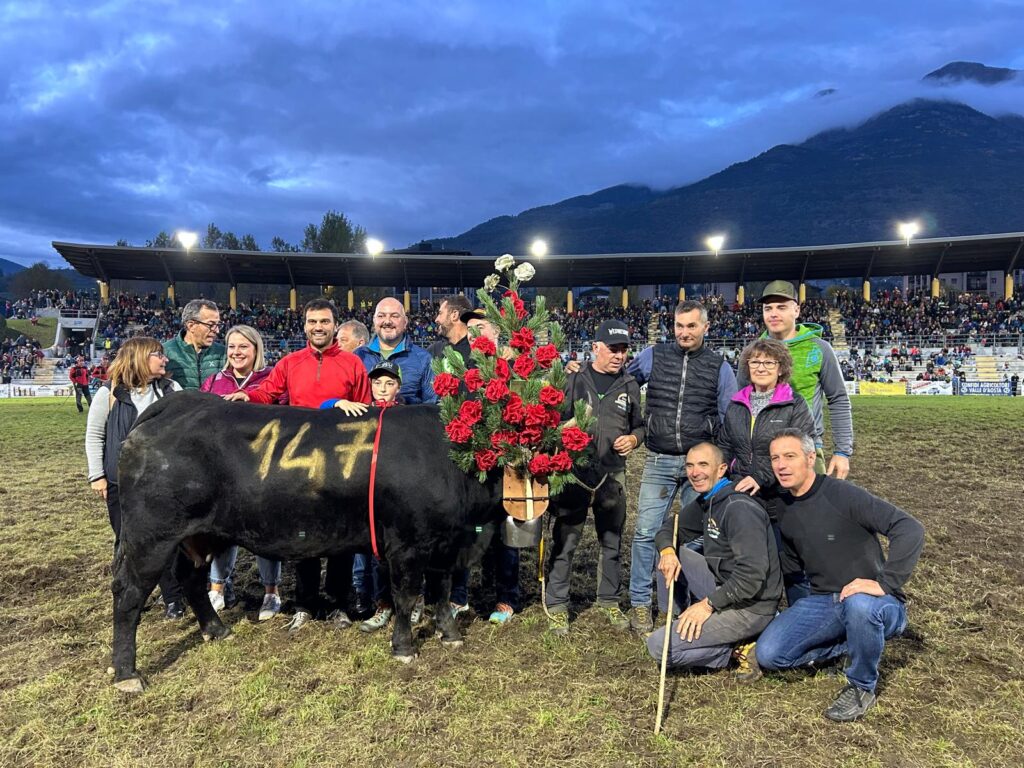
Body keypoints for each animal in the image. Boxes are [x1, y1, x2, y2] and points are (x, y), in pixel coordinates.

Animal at [111, 393, 503, 696]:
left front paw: (450, 635)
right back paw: (127, 674)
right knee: (129, 593)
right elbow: (406, 597)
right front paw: (404, 647)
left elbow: (442, 592)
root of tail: (177, 403)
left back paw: (218, 630)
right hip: (150, 536)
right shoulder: (407, 544)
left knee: (191, 577)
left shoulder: (445, 544)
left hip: (201, 534)